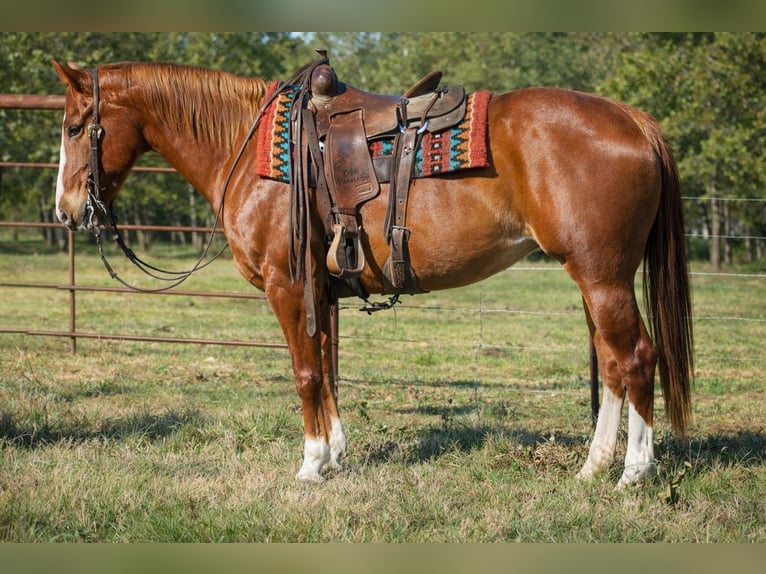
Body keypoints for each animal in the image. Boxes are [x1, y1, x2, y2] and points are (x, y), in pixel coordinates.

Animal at [51, 58, 693, 488]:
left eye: (76, 127)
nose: (65, 210)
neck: (249, 149)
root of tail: (632, 120)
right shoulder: (318, 290)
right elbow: (327, 371)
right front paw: (335, 453)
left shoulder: (289, 286)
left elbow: (306, 373)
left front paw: (311, 465)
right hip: (593, 279)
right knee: (612, 363)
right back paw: (592, 467)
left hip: (603, 279)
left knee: (637, 357)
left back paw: (633, 473)